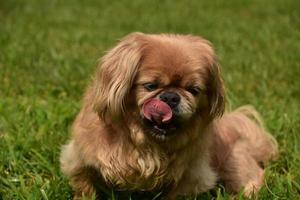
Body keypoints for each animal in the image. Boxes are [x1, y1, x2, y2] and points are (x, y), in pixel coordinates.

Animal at [59, 32, 278, 198]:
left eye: (193, 90)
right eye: (150, 86)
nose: (171, 97)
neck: (145, 142)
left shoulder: (190, 176)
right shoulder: (80, 159)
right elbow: (84, 186)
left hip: (233, 162)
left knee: (253, 177)